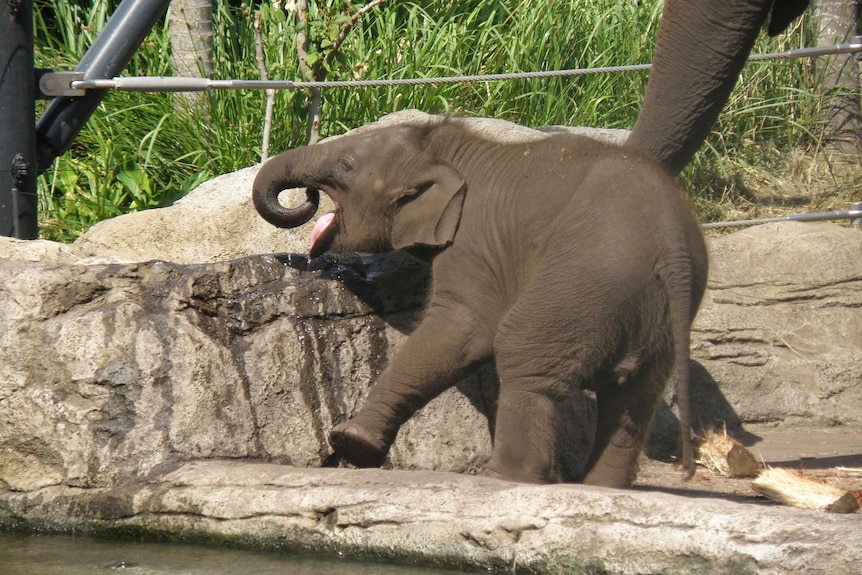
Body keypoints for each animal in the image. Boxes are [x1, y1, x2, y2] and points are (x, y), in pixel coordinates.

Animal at [251, 120, 708, 486]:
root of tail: (672, 244)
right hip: (654, 312)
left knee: (522, 350)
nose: (307, 195)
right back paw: (598, 489)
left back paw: (504, 479)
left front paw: (351, 444)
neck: (453, 149)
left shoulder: (473, 243)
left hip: (585, 281)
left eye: (345, 166)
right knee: (632, 397)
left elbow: (464, 330)